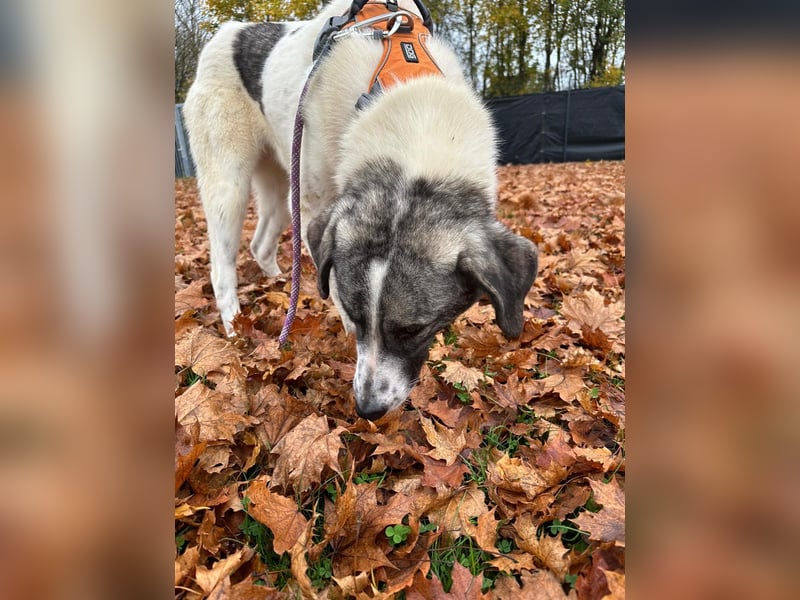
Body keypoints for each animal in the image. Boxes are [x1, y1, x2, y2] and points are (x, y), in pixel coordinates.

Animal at [183, 0, 536, 420]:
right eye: (356, 315)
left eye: (412, 330)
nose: (368, 409)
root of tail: (226, 32)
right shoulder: (317, 203)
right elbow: (332, 282)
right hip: (231, 183)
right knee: (221, 267)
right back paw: (235, 329)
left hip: (284, 185)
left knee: (261, 243)